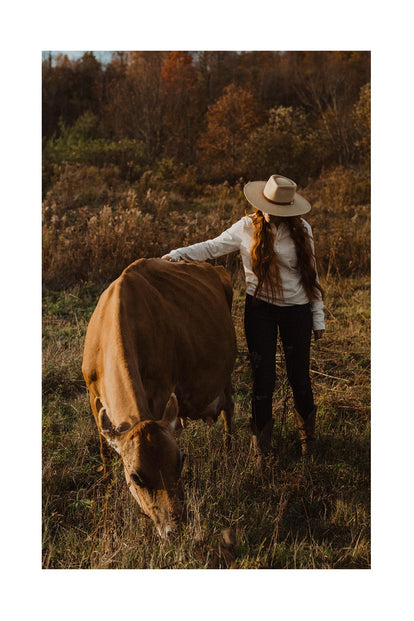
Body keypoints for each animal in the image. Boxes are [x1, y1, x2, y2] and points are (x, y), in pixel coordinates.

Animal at [81, 258, 236, 536]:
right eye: (136, 477)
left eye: (181, 461)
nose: (176, 527)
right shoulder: (93, 395)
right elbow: (104, 450)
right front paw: (106, 491)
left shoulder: (161, 392)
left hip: (226, 374)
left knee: (228, 408)